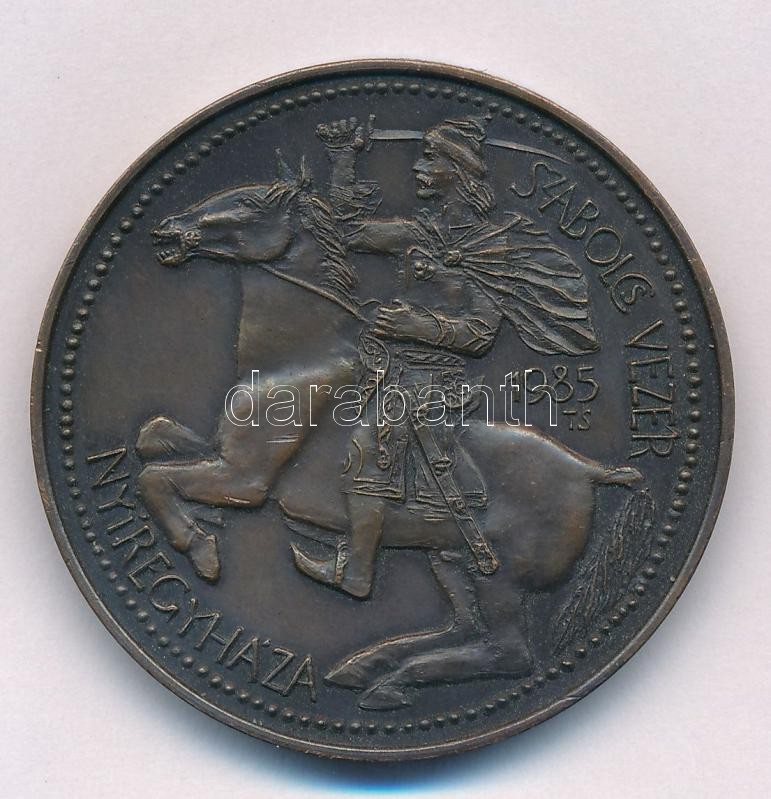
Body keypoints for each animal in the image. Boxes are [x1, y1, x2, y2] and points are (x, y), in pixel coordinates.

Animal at [137, 155, 642, 710]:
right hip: (450, 559)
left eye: (249, 201)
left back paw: (383, 667)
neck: (294, 361)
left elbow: (155, 478)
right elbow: (154, 440)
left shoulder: (246, 479)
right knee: (464, 630)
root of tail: (587, 469)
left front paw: (200, 547)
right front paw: (200, 516)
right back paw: (371, 665)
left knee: (507, 653)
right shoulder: (222, 453)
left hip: (499, 578)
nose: (168, 230)